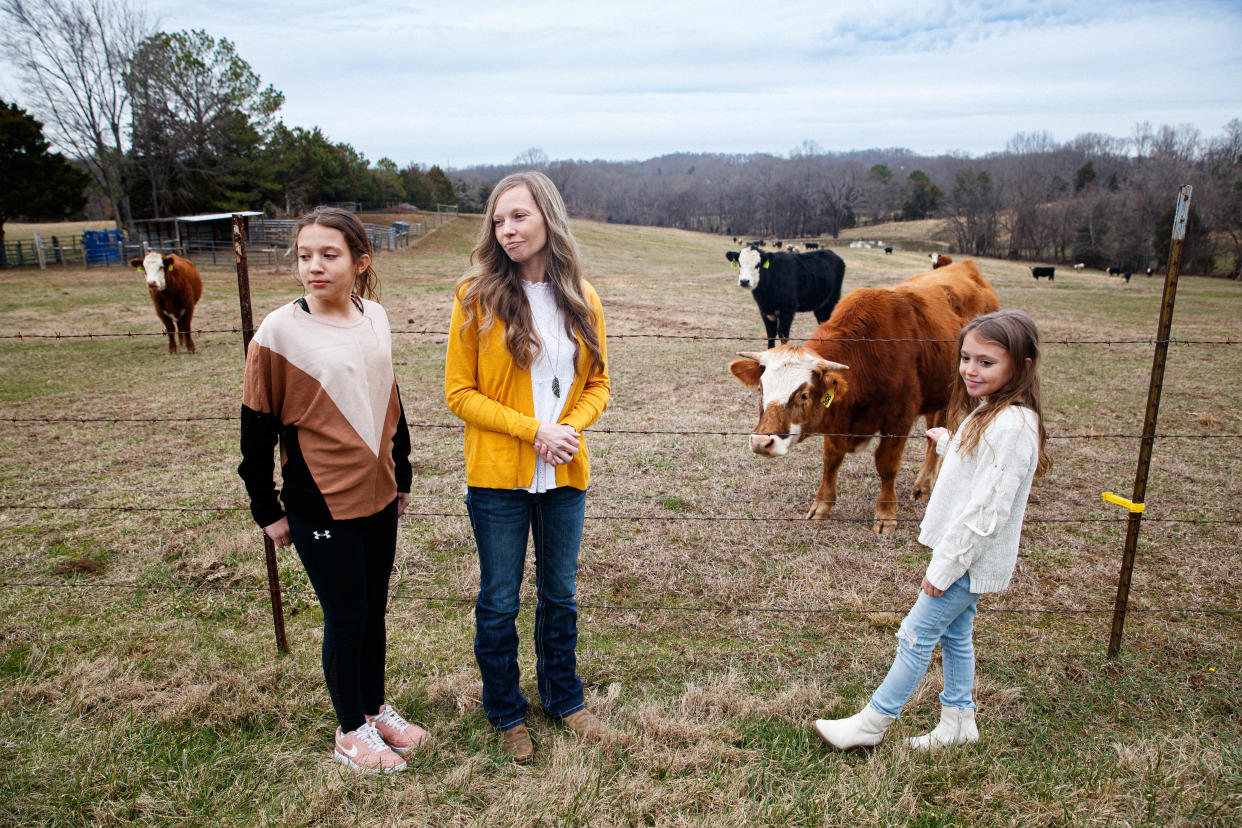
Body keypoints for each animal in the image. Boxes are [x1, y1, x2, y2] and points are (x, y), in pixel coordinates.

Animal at [725, 259, 998, 533]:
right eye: (761, 388)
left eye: (803, 395)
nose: (762, 442)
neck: (869, 352)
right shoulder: (836, 418)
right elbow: (831, 459)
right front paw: (822, 504)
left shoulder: (899, 418)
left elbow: (886, 464)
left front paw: (886, 513)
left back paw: (923, 486)